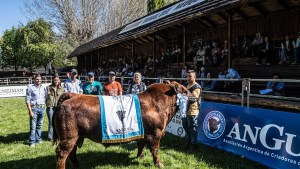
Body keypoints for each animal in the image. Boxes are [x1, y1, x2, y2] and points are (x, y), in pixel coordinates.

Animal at [52, 81, 191, 168]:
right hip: (69, 137)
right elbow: (155, 150)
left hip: (76, 136)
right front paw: (159, 164)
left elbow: (140, 144)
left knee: (72, 153)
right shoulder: (155, 133)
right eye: (184, 91)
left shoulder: (142, 132)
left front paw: (140, 156)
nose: (193, 96)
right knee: (62, 153)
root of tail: (71, 95)